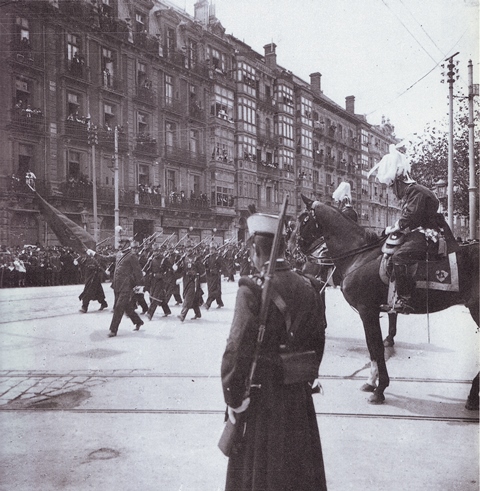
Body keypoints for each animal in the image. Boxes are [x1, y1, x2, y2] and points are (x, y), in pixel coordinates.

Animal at [294, 198, 478, 406]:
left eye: (303, 219)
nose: (295, 252)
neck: (359, 256)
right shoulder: (369, 310)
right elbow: (372, 347)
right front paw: (371, 382)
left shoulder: (367, 310)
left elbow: (376, 347)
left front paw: (379, 389)